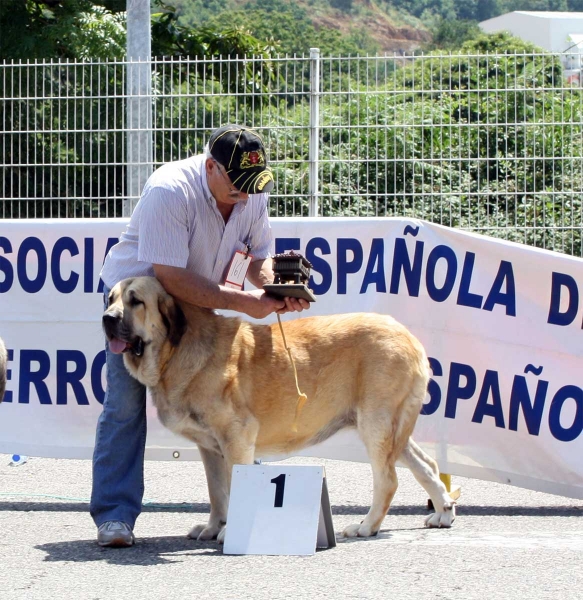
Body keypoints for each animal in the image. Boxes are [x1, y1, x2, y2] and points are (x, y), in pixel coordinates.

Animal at [104, 278, 456, 540]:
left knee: (388, 479)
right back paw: (443, 511)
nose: (107, 318)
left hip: (376, 423)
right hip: (392, 426)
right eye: (110, 298)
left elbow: (232, 485)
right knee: (427, 465)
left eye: (136, 301)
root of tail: (409, 337)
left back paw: (367, 527)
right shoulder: (211, 447)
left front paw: (229, 531)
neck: (176, 349)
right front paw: (214, 527)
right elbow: (217, 492)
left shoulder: (236, 437)